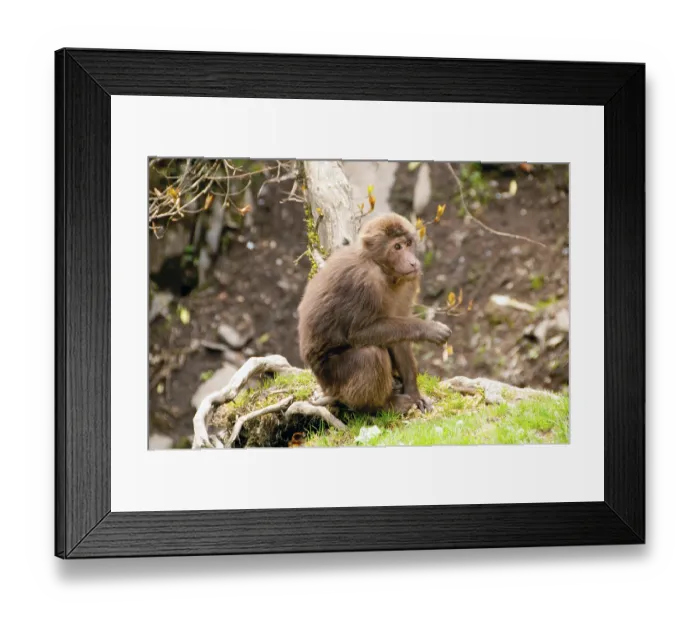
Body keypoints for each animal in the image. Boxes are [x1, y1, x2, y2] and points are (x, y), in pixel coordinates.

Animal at [297, 213, 452, 414]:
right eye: (397, 247)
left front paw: (414, 393)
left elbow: (400, 336)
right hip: (332, 381)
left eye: (408, 243)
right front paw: (428, 329)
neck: (382, 269)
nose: (413, 262)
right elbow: (358, 333)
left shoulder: (409, 281)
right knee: (370, 354)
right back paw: (380, 406)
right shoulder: (363, 282)